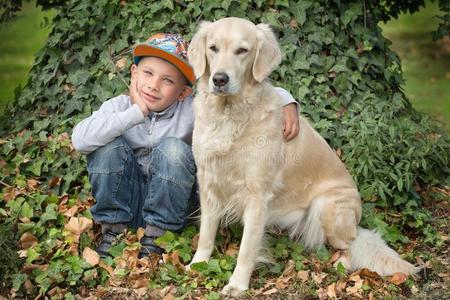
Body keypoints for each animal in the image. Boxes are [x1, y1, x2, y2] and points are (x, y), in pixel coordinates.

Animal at [187, 17, 418, 296]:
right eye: (213, 48)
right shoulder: (208, 182)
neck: (229, 114)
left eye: (242, 51)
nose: (220, 79)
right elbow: (206, 233)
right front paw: (198, 264)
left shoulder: (257, 196)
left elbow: (246, 249)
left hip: (326, 205)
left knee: (351, 243)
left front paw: (237, 285)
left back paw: (343, 263)